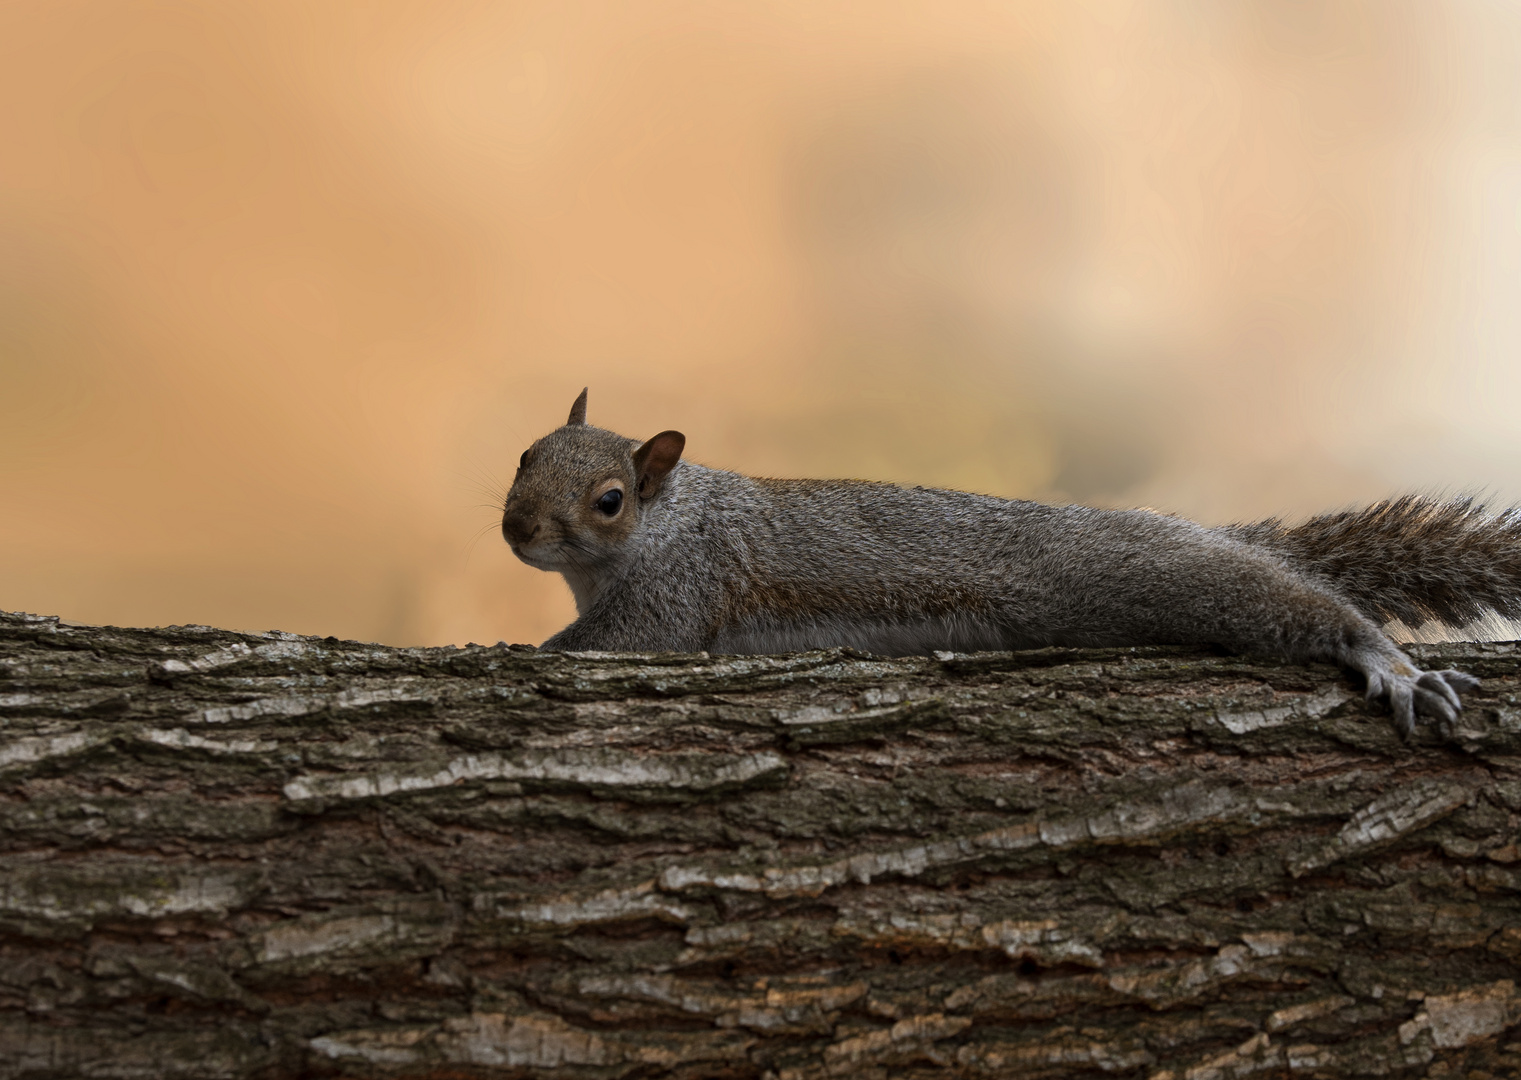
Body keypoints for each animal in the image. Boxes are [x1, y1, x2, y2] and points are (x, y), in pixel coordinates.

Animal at [508, 389, 1521, 736]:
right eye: (523, 454)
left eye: (610, 500)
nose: (518, 529)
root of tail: (1218, 533)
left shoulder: (682, 588)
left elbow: (611, 643)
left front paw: (522, 655)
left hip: (1143, 573)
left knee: (1300, 607)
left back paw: (1388, 664)